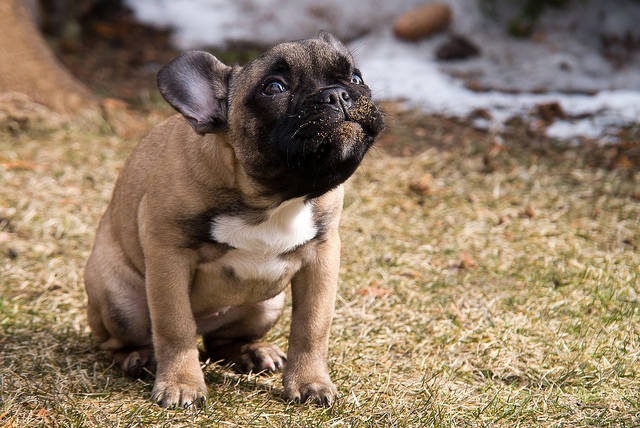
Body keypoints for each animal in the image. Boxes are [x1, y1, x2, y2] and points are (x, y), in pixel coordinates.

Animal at [82, 30, 382, 408]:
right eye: (274, 88)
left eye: (356, 78)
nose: (338, 93)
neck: (272, 198)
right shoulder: (169, 256)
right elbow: (174, 326)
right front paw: (182, 384)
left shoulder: (322, 257)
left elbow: (312, 327)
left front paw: (310, 382)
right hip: (120, 300)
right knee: (125, 341)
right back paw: (139, 358)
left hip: (266, 303)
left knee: (220, 343)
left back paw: (253, 352)